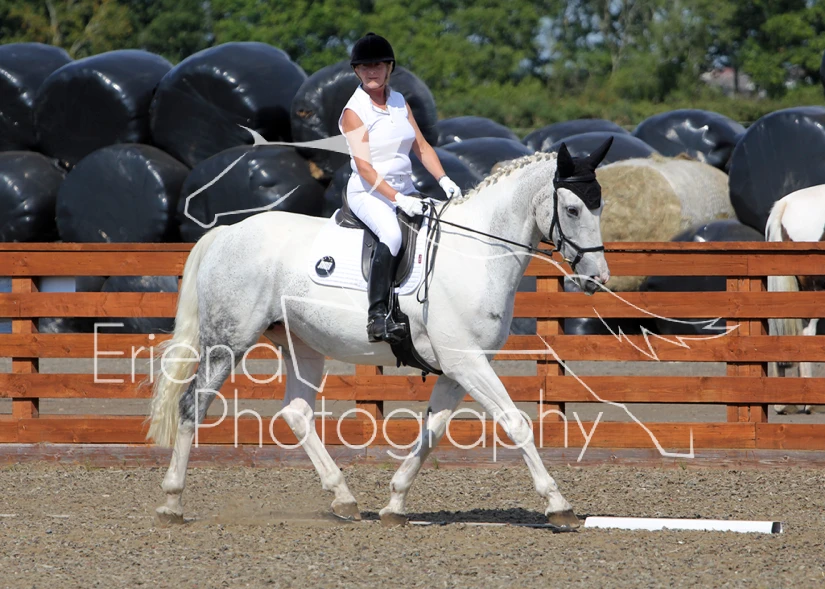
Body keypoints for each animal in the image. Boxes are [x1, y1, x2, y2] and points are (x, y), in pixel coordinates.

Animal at [145, 139, 613, 530]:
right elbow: (515, 423)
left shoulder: (456, 368)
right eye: (573, 210)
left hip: (302, 345)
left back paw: (344, 498)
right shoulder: (466, 361)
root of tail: (227, 233)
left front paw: (395, 503)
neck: (475, 252)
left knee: (296, 412)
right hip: (228, 342)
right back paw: (171, 502)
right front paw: (559, 505)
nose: (597, 279)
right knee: (193, 405)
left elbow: (432, 431)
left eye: (601, 207)